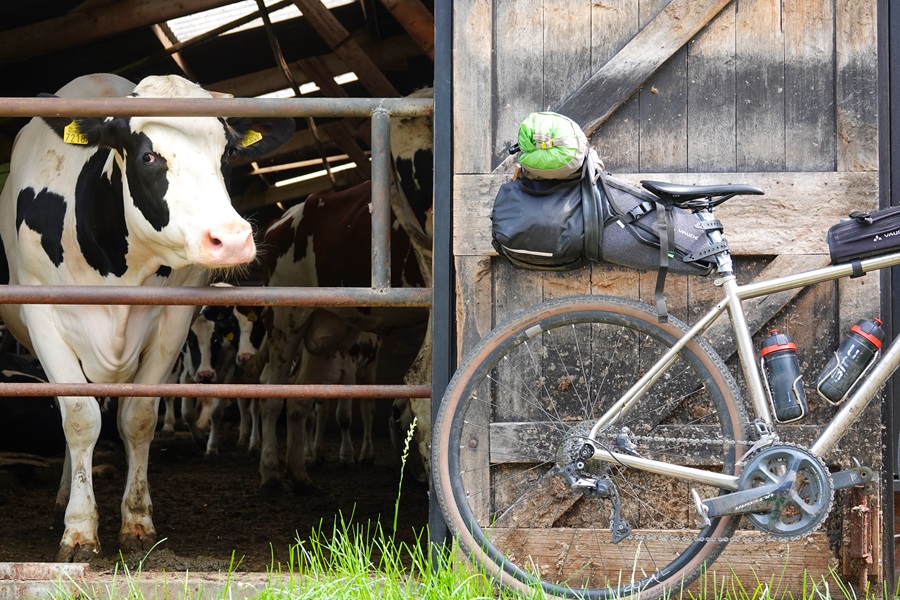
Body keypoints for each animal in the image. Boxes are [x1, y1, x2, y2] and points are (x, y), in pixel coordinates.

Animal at [0, 75, 292, 564]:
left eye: (226, 154)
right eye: (148, 157)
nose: (232, 240)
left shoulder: (174, 323)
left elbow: (137, 418)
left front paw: (136, 524)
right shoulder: (43, 319)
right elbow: (78, 418)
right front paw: (79, 530)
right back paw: (64, 497)